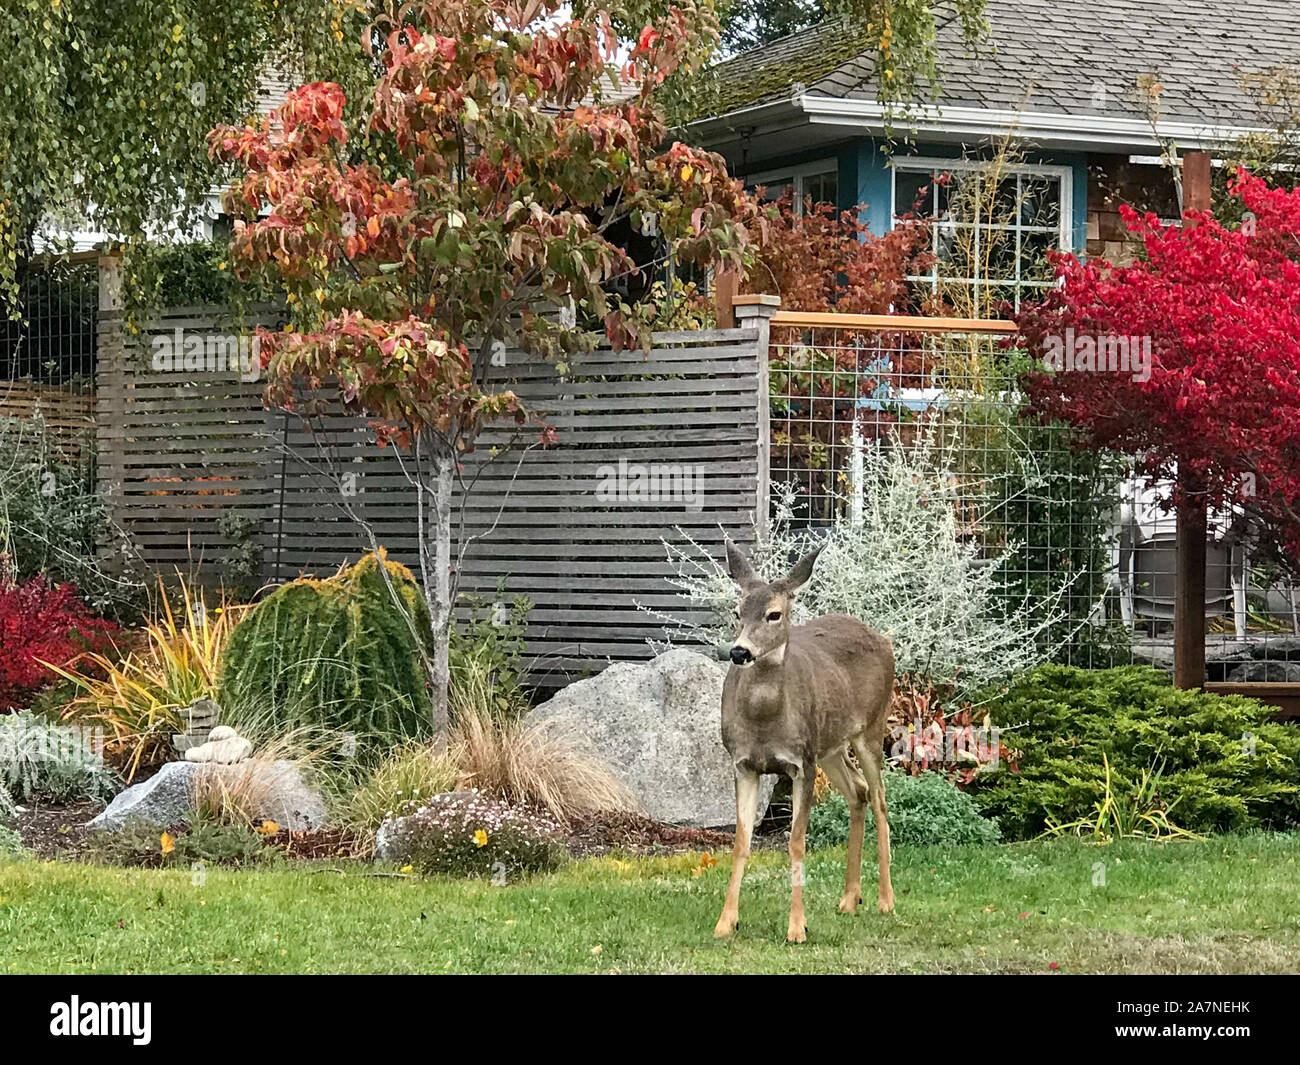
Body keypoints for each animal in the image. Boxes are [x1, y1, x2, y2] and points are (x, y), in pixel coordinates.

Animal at [713, 538, 896, 943]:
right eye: (737, 611)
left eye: (774, 614)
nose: (739, 652)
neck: (766, 721)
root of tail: (881, 636)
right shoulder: (742, 764)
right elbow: (741, 840)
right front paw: (726, 922)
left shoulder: (802, 763)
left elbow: (796, 841)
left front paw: (797, 927)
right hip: (830, 744)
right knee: (858, 791)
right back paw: (849, 899)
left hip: (870, 728)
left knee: (879, 798)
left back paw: (885, 900)